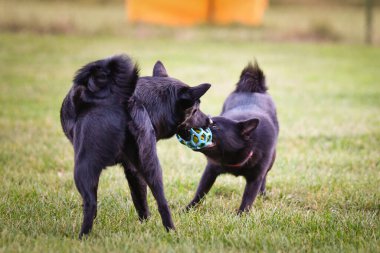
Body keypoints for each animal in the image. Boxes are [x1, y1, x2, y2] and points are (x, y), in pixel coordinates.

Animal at [60, 54, 212, 238]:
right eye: (195, 110)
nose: (210, 120)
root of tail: (120, 97)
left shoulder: (132, 168)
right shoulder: (134, 168)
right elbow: (141, 200)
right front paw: (146, 224)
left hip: (86, 166)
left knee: (90, 203)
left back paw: (84, 237)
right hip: (149, 164)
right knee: (162, 203)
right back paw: (172, 232)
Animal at [186, 61, 280, 213]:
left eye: (214, 126)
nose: (189, 126)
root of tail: (252, 89)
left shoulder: (255, 179)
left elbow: (247, 200)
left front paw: (241, 216)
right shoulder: (210, 171)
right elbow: (200, 193)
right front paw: (187, 209)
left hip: (271, 162)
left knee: (265, 178)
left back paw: (263, 194)